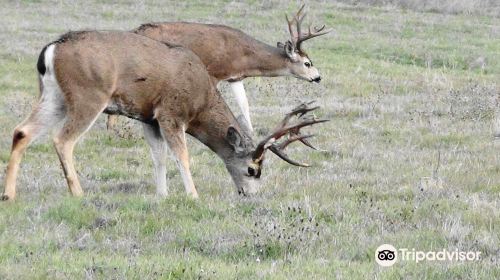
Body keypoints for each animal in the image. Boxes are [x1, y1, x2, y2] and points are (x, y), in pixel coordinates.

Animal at [0, 30, 328, 201]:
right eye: (252, 169)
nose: (249, 195)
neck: (201, 100)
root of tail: (51, 49)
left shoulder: (148, 117)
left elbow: (158, 157)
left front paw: (162, 195)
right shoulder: (171, 113)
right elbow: (182, 155)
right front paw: (193, 196)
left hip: (53, 96)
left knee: (22, 131)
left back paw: (9, 194)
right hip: (88, 95)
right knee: (62, 140)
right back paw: (78, 193)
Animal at [107, 3, 330, 132]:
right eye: (307, 63)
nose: (318, 77)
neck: (243, 54)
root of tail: (136, 30)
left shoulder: (235, 77)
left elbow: (244, 106)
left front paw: (250, 133)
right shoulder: (214, 72)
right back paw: (113, 128)